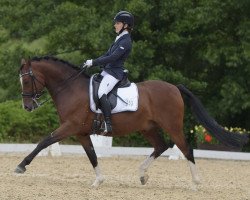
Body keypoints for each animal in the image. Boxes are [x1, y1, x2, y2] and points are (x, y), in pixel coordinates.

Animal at [16, 55, 249, 188]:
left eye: (26, 80)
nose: (27, 107)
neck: (71, 88)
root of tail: (174, 87)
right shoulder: (81, 133)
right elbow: (92, 155)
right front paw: (98, 181)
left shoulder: (69, 127)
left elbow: (44, 141)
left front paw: (21, 166)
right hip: (148, 128)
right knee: (161, 146)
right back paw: (142, 175)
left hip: (172, 126)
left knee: (185, 149)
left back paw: (195, 183)